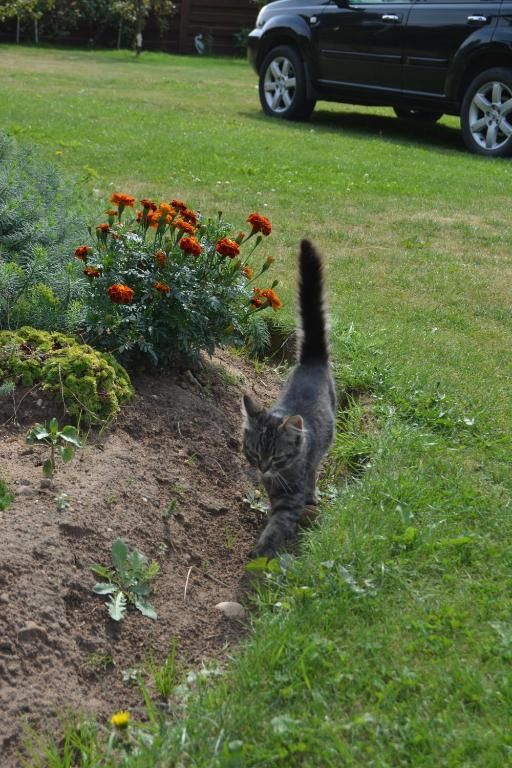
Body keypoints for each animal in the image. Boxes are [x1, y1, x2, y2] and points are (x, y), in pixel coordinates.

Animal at [243, 240, 336, 560]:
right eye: (254, 454)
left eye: (277, 457)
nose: (262, 469)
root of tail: (310, 360)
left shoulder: (290, 497)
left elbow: (278, 523)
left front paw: (262, 551)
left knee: (316, 471)